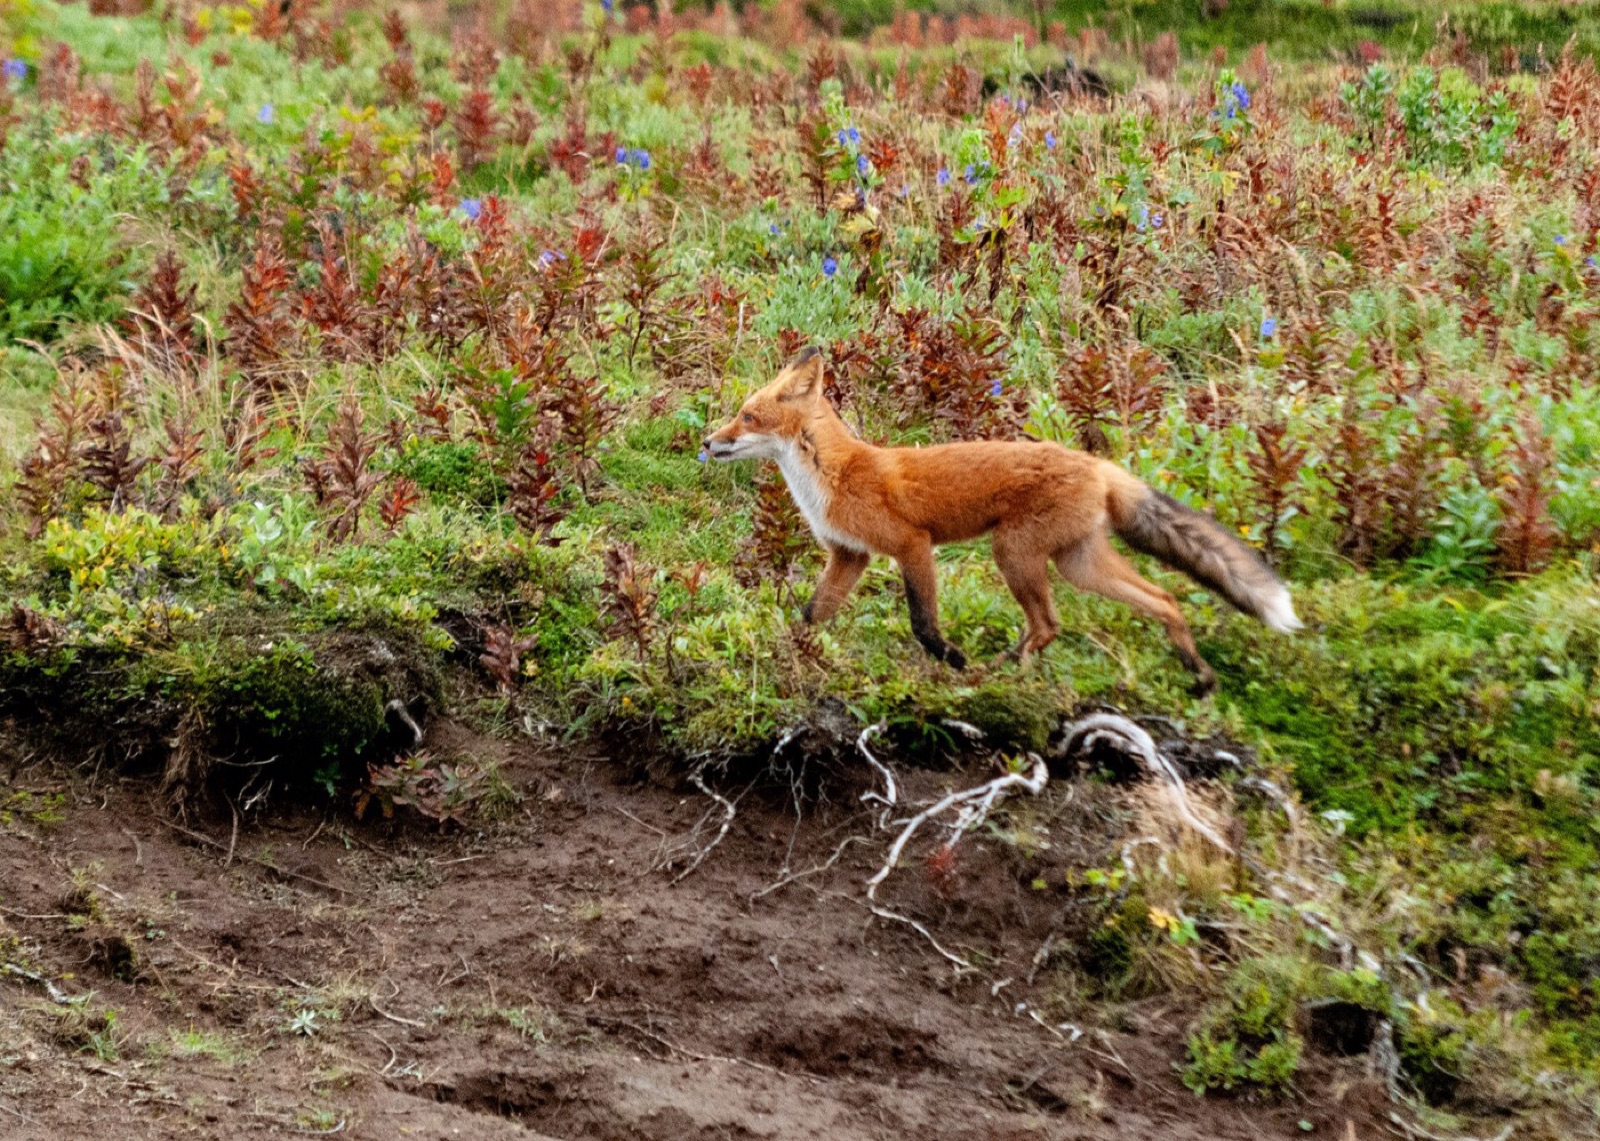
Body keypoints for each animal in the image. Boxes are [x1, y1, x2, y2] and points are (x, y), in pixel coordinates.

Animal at [703, 348, 1303, 693]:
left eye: (748, 416)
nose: (708, 442)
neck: (834, 474)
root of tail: (1097, 463)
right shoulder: (850, 556)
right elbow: (810, 616)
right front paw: (790, 656)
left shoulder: (911, 544)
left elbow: (923, 623)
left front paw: (951, 659)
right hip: (1077, 565)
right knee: (1162, 599)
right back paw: (1197, 675)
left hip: (1013, 554)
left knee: (1049, 625)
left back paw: (995, 672)